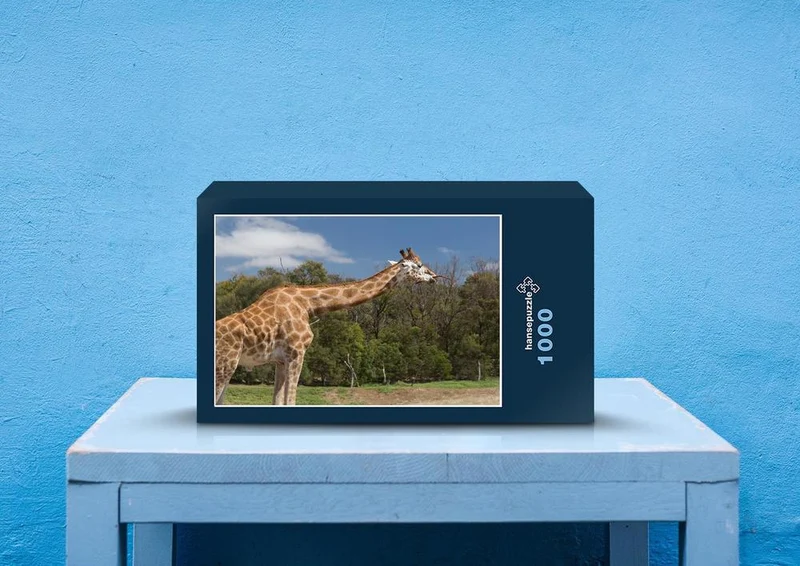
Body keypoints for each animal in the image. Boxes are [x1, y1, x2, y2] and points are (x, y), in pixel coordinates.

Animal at [214, 247, 439, 405]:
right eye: (419, 265)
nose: (434, 276)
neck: (308, 304)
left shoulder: (279, 360)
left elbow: (277, 401)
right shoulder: (296, 352)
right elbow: (290, 400)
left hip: (230, 367)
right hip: (225, 364)